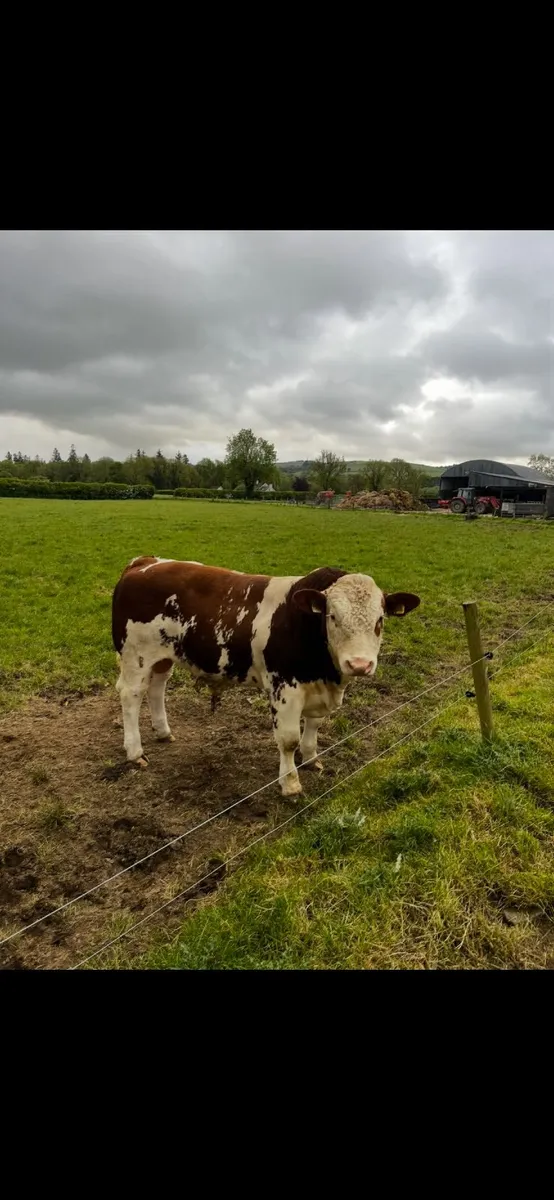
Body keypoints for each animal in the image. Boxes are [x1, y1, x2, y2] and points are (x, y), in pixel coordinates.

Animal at [111, 557, 420, 797]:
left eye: (380, 620)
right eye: (332, 616)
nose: (359, 664)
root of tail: (145, 563)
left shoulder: (317, 690)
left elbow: (314, 726)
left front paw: (311, 759)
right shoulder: (285, 689)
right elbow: (288, 740)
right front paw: (291, 784)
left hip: (163, 657)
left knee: (157, 688)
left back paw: (163, 731)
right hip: (135, 656)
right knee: (131, 695)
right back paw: (135, 751)